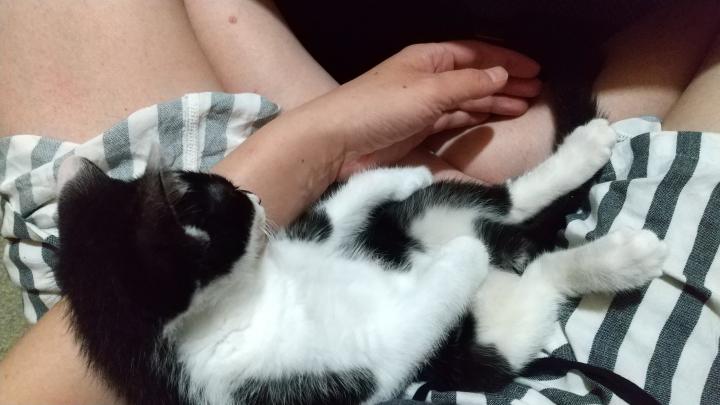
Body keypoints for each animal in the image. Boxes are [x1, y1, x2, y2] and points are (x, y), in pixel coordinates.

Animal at [54, 118, 666, 405]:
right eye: (232, 201)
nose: (258, 197)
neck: (252, 296)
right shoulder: (353, 369)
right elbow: (412, 320)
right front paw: (459, 259)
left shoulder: (312, 242)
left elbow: (337, 211)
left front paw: (404, 173)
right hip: (479, 349)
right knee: (537, 277)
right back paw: (620, 258)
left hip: (427, 218)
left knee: (502, 200)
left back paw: (582, 152)